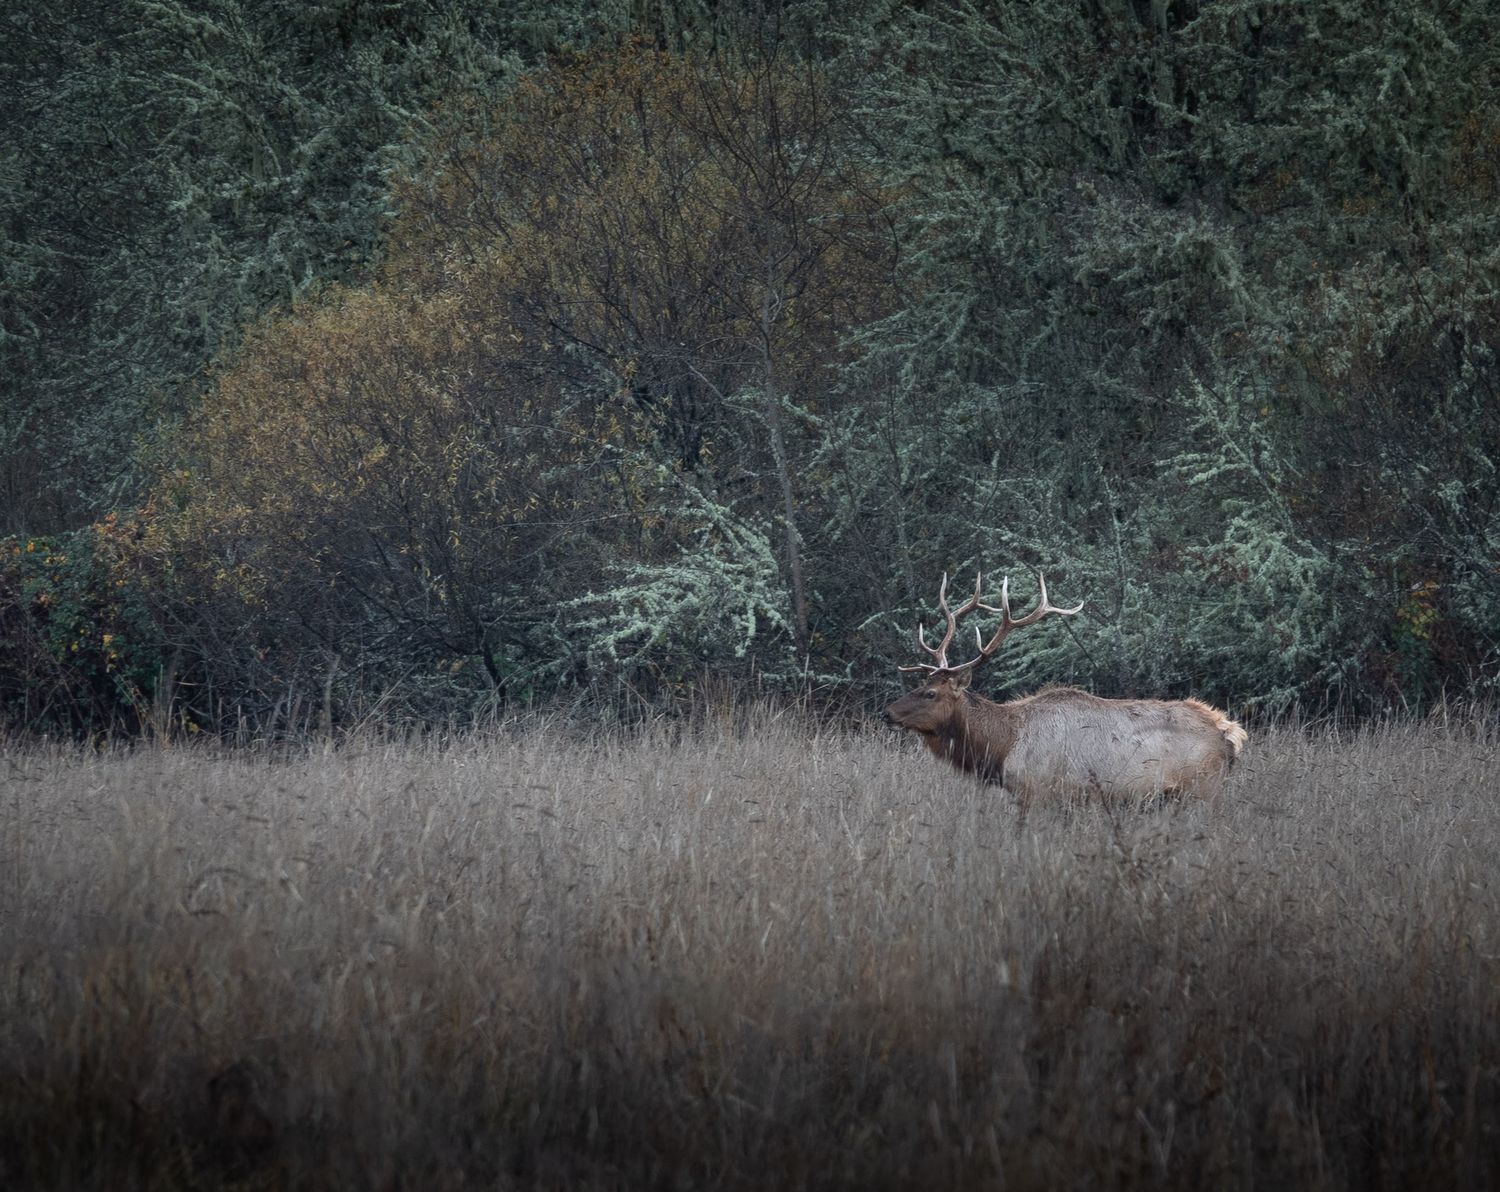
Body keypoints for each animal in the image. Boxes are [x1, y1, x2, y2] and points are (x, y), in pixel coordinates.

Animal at [883, 572, 1247, 807]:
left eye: (931, 693)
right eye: (921, 683)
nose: (887, 713)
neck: (1002, 746)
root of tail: (1230, 733)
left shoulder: (1038, 793)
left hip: (1204, 790)